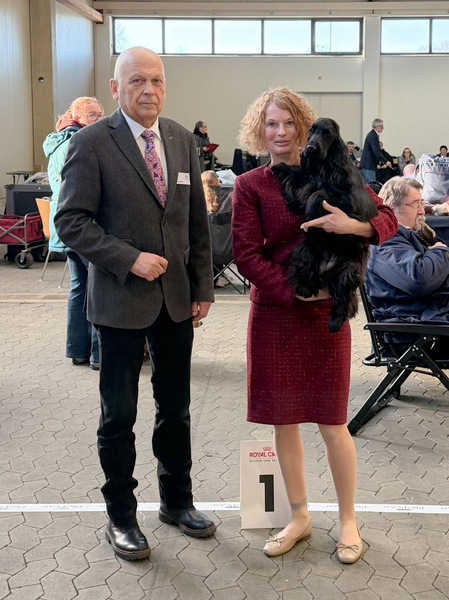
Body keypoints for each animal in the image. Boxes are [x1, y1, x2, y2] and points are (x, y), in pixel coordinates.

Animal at [272, 117, 378, 333]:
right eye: (311, 131)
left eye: (327, 133)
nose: (310, 148)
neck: (325, 167)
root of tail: (326, 271)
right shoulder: (306, 182)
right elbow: (299, 180)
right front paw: (280, 167)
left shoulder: (349, 199)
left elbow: (319, 194)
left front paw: (312, 212)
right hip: (305, 250)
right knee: (304, 273)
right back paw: (306, 287)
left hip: (350, 270)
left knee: (343, 299)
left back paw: (335, 322)